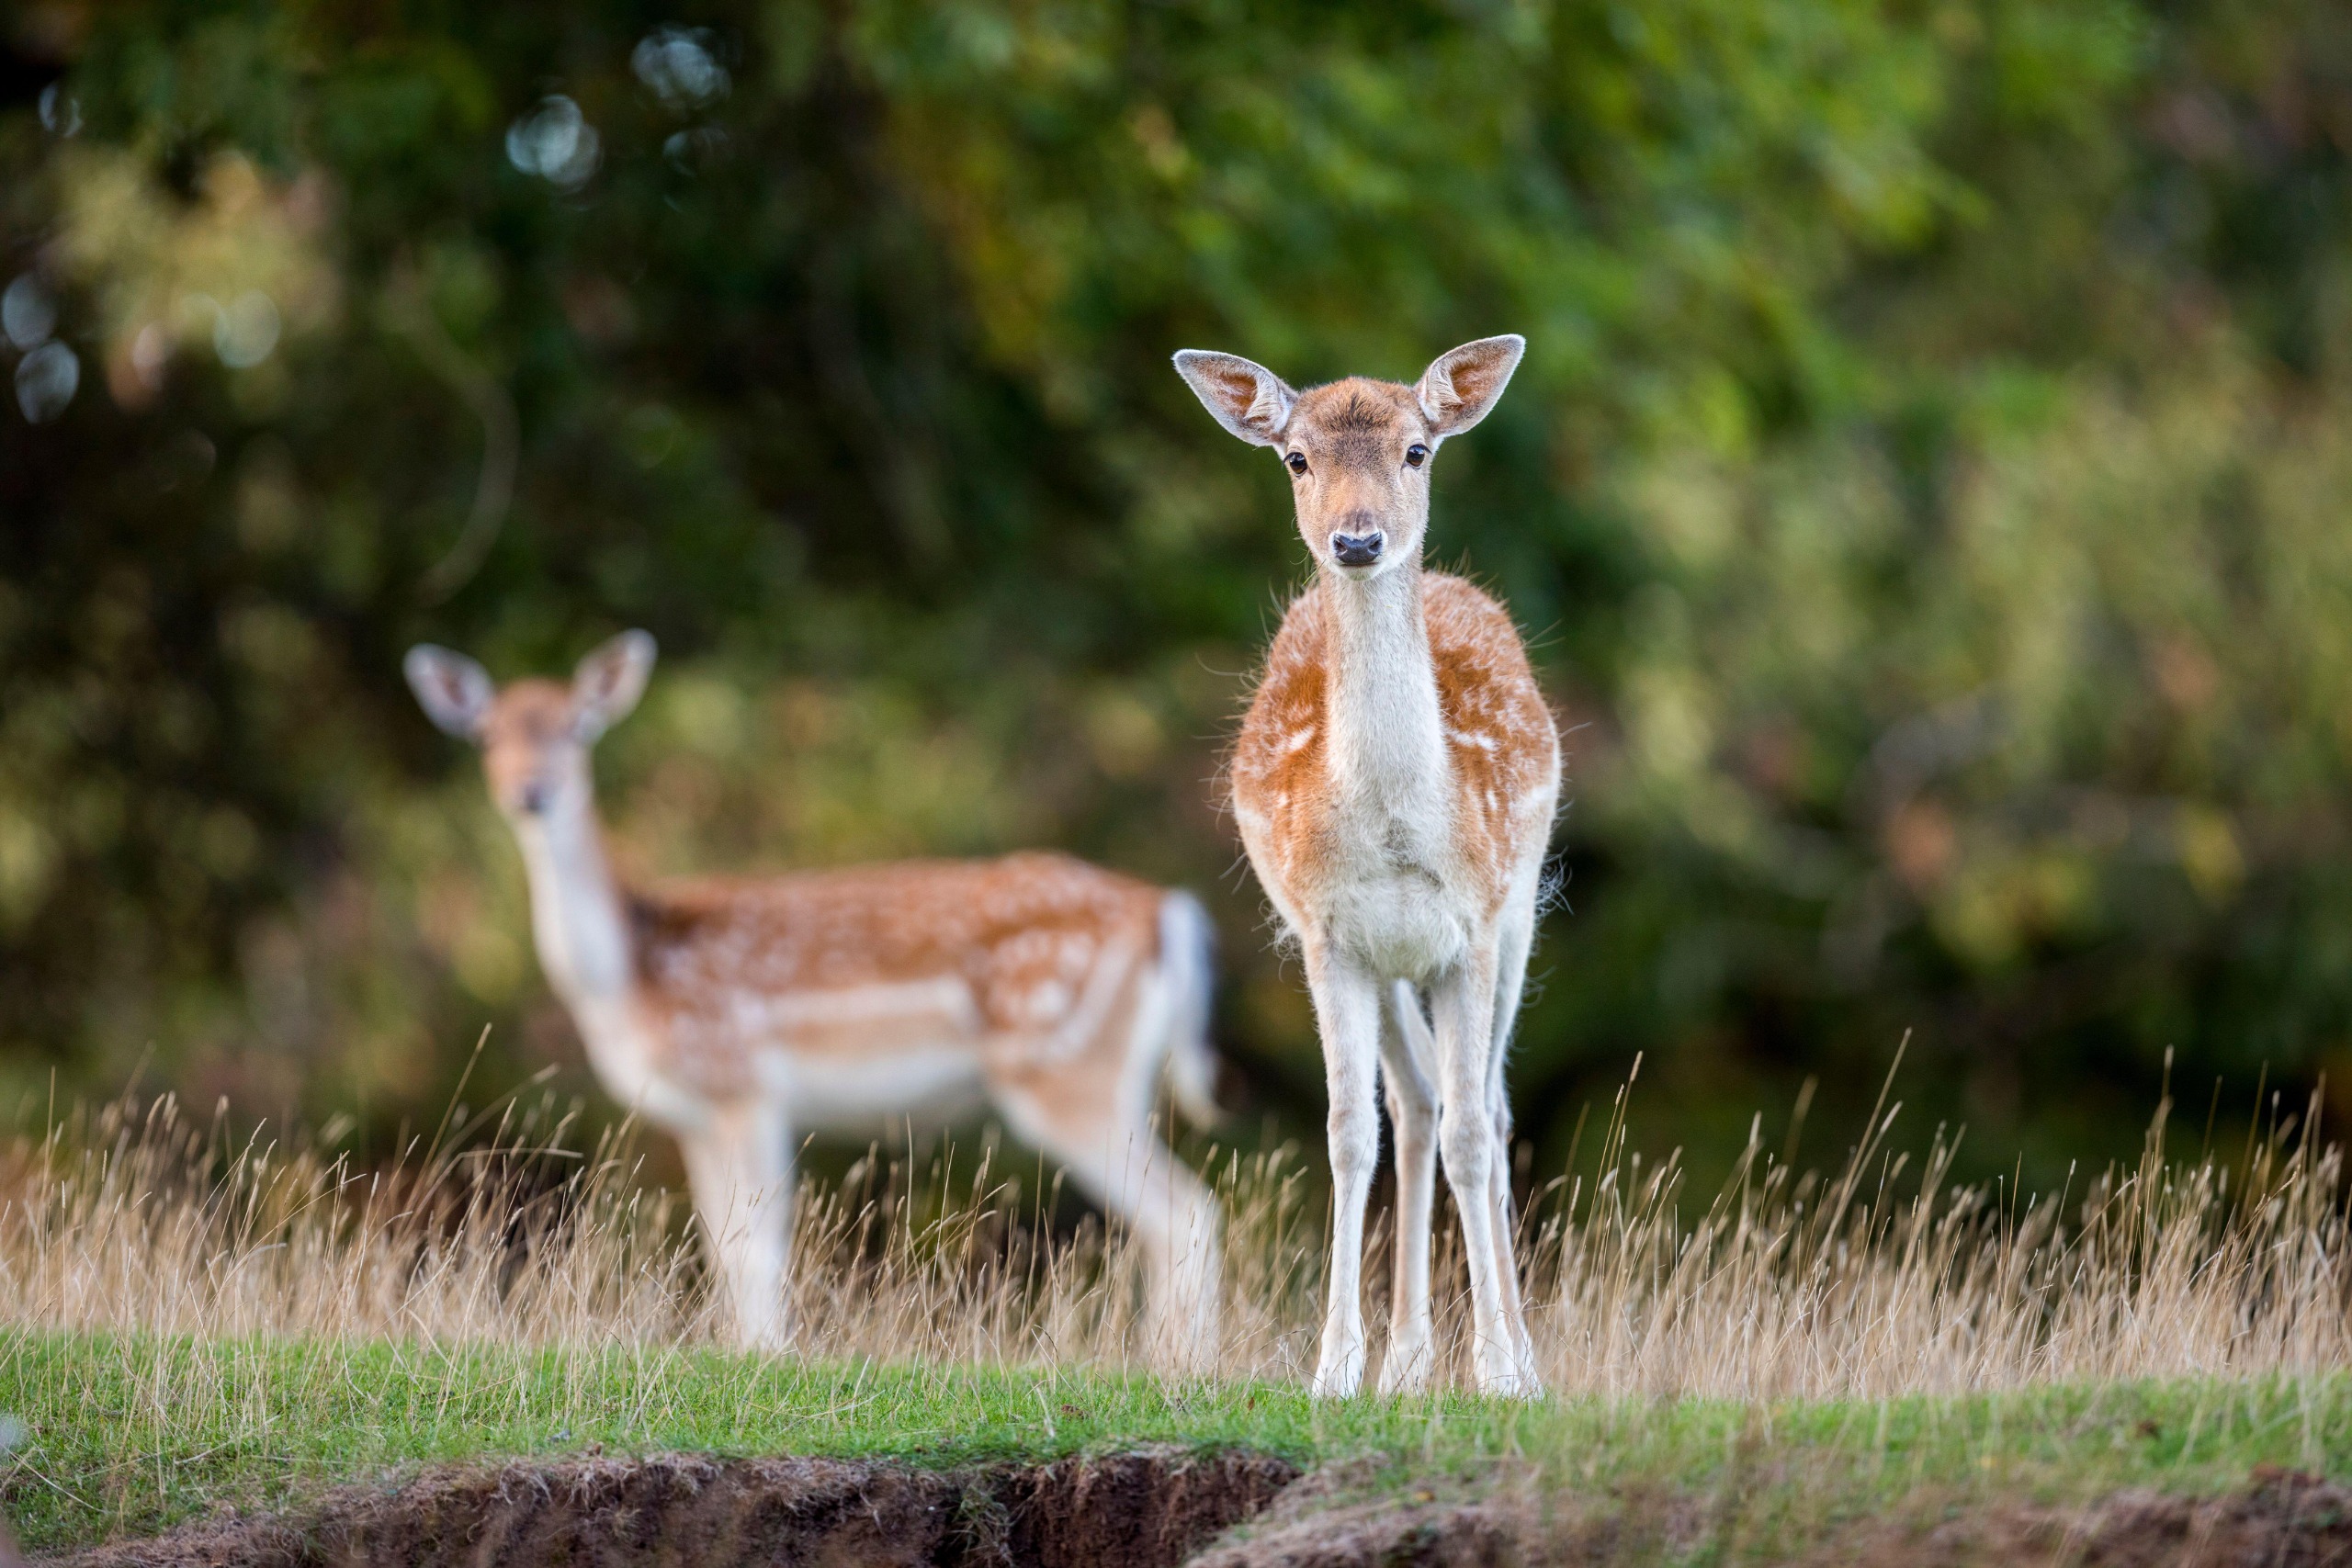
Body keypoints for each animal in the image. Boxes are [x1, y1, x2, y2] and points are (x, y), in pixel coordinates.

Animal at [403, 632, 1223, 1365]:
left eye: (578, 726)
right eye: (484, 733)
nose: (530, 792)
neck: (631, 977)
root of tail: (1167, 912)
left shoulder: (743, 1082)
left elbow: (758, 1241)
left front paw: (769, 1354)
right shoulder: (695, 1113)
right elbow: (723, 1241)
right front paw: (743, 1347)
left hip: (1067, 1068)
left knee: (1187, 1210)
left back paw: (1177, 1366)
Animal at [1173, 336, 1560, 1398]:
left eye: (1417, 449)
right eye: (1296, 458)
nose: (1356, 540)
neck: (1395, 826)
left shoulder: (1473, 925)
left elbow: (1475, 1131)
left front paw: (1502, 1371)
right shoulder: (1329, 936)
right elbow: (1350, 1133)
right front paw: (1335, 1369)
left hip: (1519, 911)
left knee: (1486, 1109)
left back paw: (1511, 1355)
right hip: (1384, 963)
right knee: (1417, 1100)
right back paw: (1406, 1361)